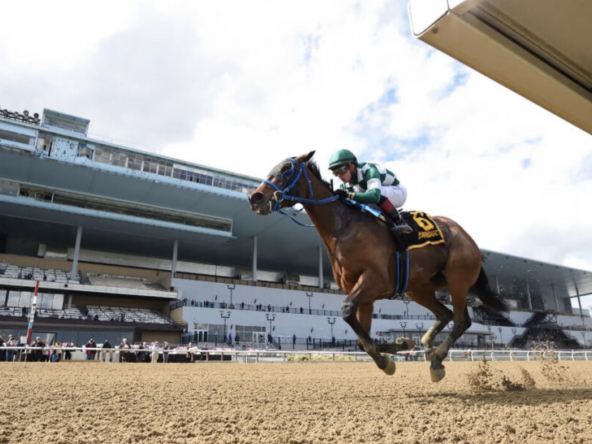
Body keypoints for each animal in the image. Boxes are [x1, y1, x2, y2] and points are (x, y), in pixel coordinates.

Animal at [247, 151, 506, 380]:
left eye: (286, 169)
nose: (255, 197)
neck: (344, 227)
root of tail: (466, 236)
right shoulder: (364, 294)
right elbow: (362, 340)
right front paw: (402, 344)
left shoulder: (376, 280)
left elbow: (347, 311)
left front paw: (386, 359)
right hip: (418, 288)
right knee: (446, 314)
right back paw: (427, 346)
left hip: (458, 279)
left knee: (462, 320)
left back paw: (437, 360)